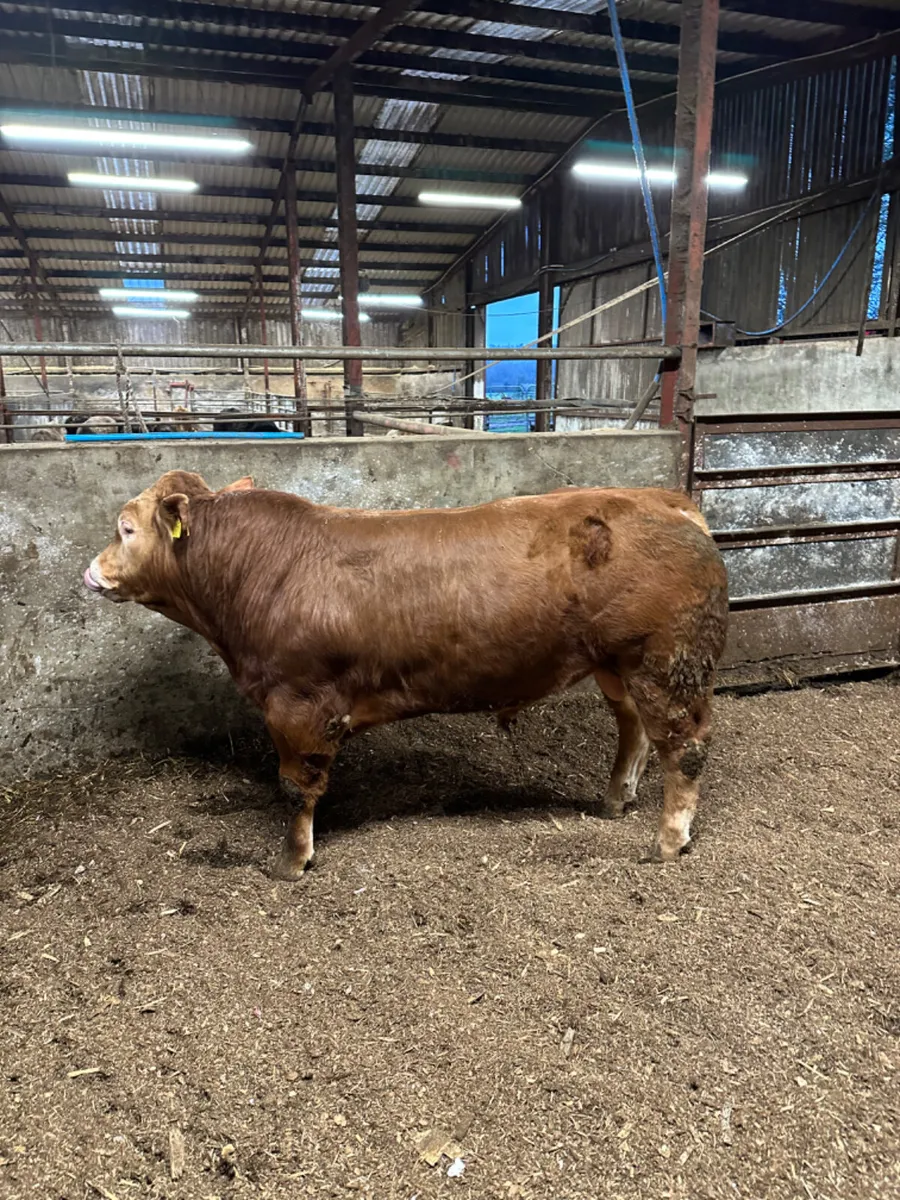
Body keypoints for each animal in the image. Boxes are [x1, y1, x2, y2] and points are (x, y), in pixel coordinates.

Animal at [84, 471, 729, 880]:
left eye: (125, 528)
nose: (91, 570)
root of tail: (668, 501)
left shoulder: (297, 703)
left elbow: (299, 785)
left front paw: (291, 862)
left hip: (667, 663)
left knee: (685, 747)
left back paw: (668, 840)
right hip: (616, 663)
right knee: (635, 729)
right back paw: (615, 799)